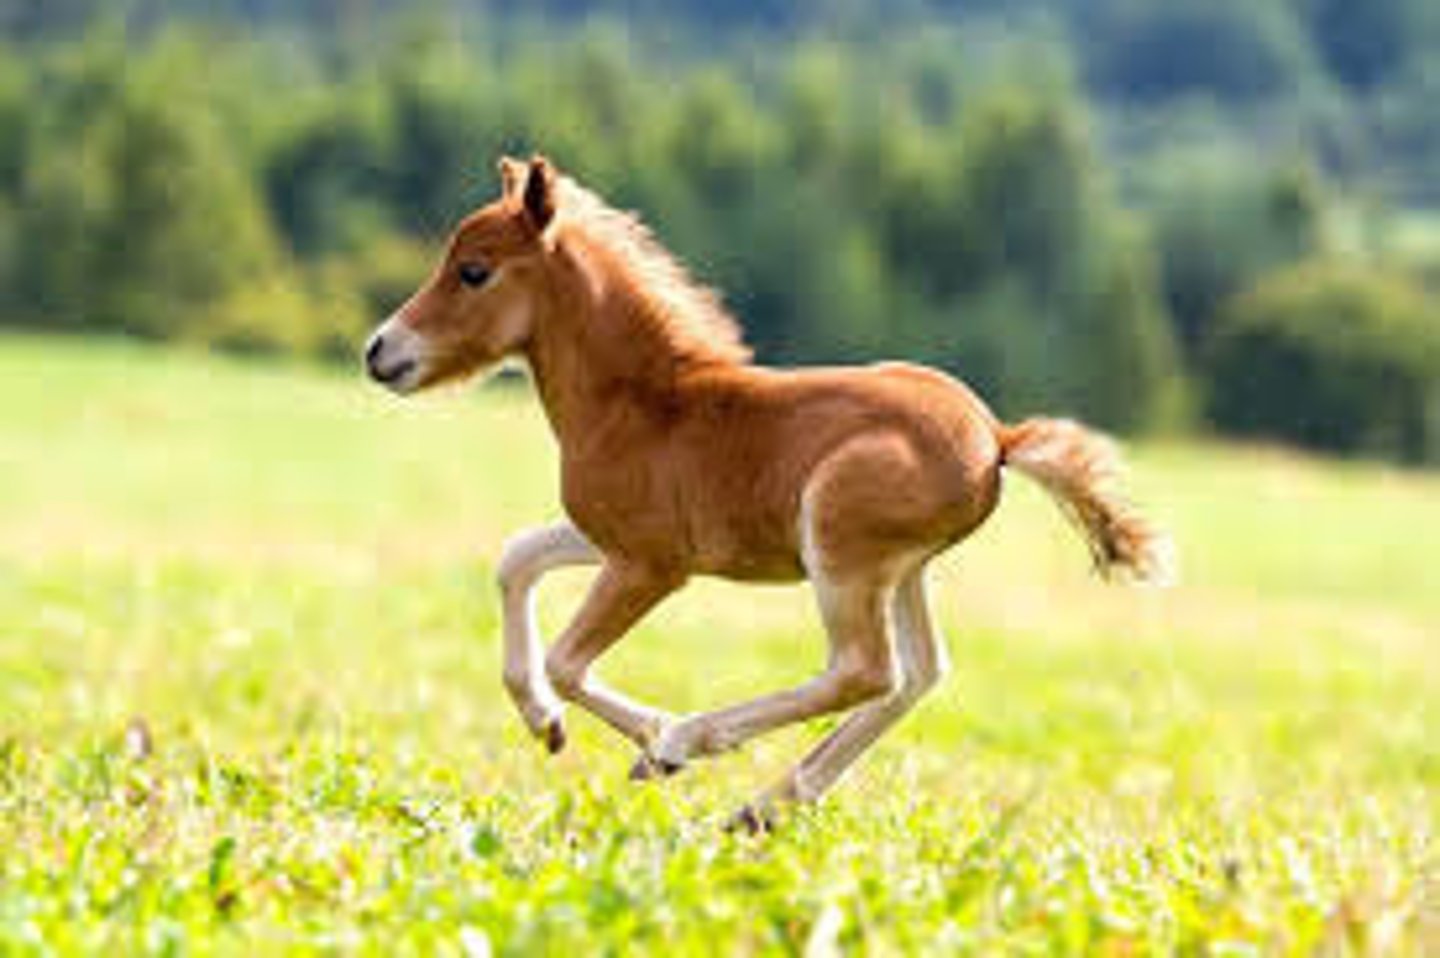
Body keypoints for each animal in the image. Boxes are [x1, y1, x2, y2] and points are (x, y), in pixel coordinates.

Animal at [364, 154, 1175, 832]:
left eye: (474, 271)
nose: (379, 352)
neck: (643, 402)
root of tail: (997, 438)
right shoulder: (611, 538)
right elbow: (516, 560)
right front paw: (548, 723)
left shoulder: (651, 565)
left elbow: (566, 659)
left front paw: (654, 741)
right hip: (903, 570)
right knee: (918, 674)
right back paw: (766, 805)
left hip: (839, 546)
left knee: (865, 670)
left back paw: (697, 744)